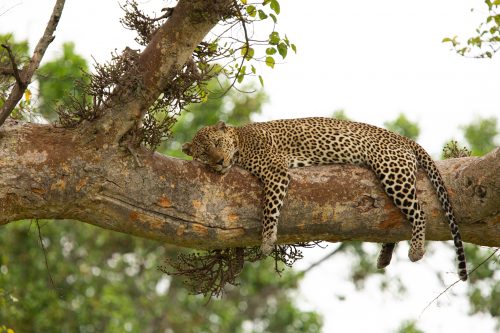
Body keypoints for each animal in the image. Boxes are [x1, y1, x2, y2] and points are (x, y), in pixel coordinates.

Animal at [181, 116, 468, 280]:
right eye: (204, 153)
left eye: (218, 143)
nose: (219, 162)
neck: (239, 141)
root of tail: (401, 137)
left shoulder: (276, 171)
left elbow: (269, 209)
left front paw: (266, 241)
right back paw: (385, 256)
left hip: (392, 172)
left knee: (419, 212)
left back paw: (416, 249)